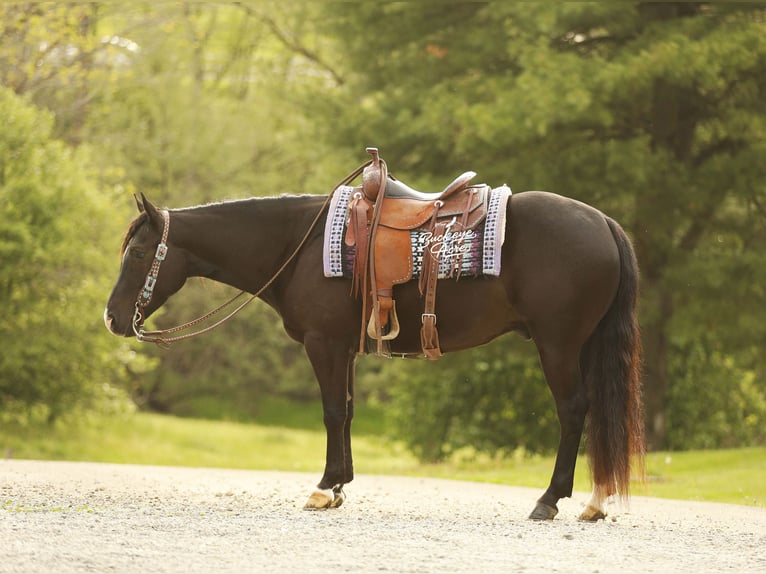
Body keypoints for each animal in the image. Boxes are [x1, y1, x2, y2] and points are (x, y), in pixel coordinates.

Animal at [104, 177, 645, 521]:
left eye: (138, 252)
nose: (111, 318)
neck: (298, 246)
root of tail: (603, 222)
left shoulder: (323, 344)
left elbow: (330, 412)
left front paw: (323, 489)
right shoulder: (343, 348)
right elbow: (345, 410)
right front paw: (340, 484)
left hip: (559, 344)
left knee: (573, 410)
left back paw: (550, 499)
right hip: (584, 345)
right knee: (597, 413)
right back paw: (595, 502)